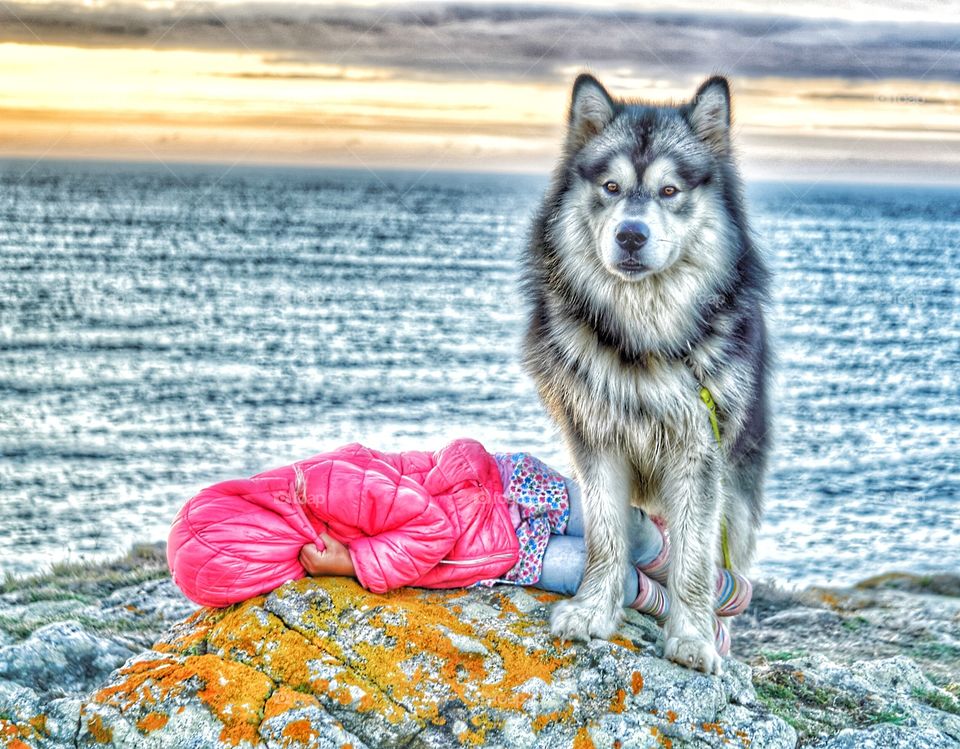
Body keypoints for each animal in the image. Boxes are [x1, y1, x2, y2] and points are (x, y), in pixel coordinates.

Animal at [521, 74, 770, 674]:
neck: (644, 338)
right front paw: (594, 611)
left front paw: (693, 638)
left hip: (740, 493)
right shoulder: (595, 439)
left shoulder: (701, 453)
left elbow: (697, 561)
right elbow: (608, 537)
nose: (630, 235)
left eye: (670, 191)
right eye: (611, 187)